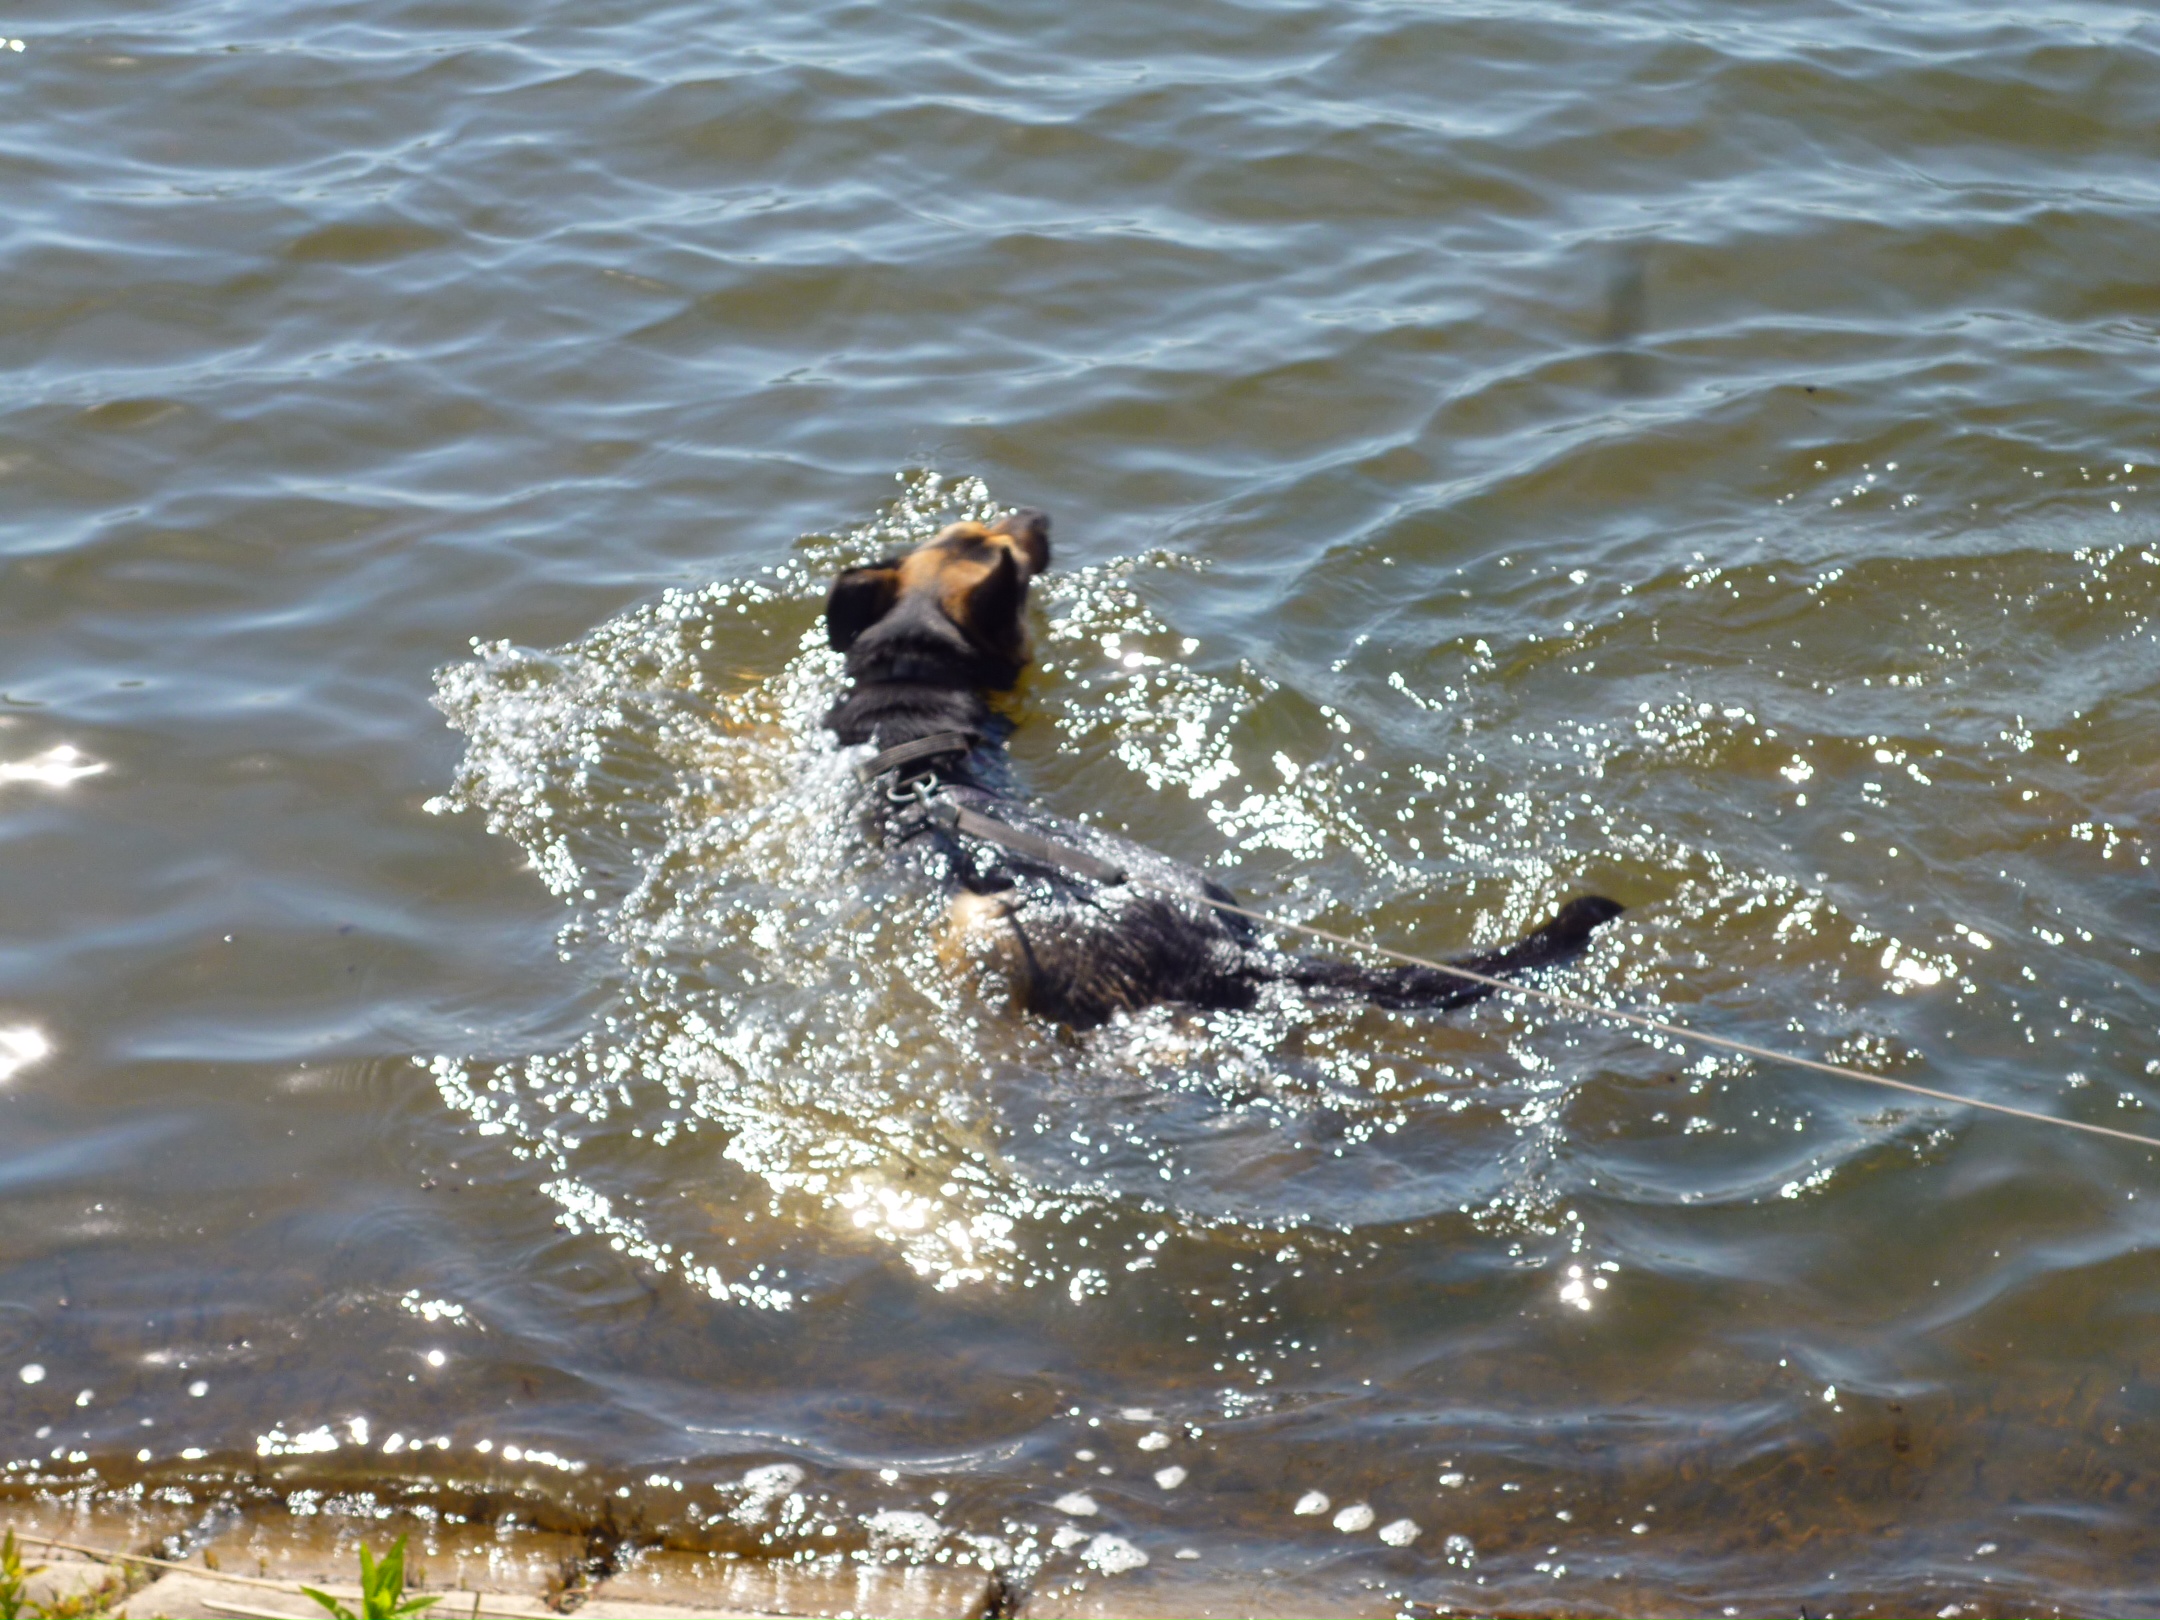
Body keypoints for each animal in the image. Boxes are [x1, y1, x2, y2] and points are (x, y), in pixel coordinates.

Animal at [823, 509, 1623, 1029]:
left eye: (1005, 549)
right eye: (982, 535)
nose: (1041, 515)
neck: (915, 672)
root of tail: (1223, 950)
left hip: (981, 930)